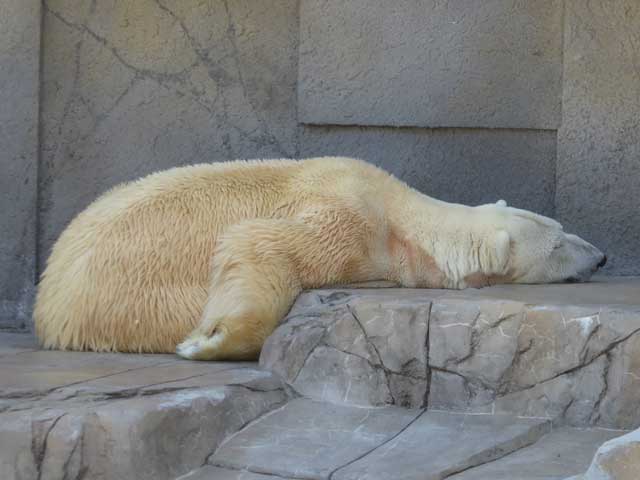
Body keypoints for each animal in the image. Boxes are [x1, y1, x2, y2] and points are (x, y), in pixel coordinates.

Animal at [35, 158, 604, 360]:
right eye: (559, 243)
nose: (601, 256)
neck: (402, 218)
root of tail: (48, 300)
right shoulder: (348, 216)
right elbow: (260, 241)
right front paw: (212, 340)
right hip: (132, 295)